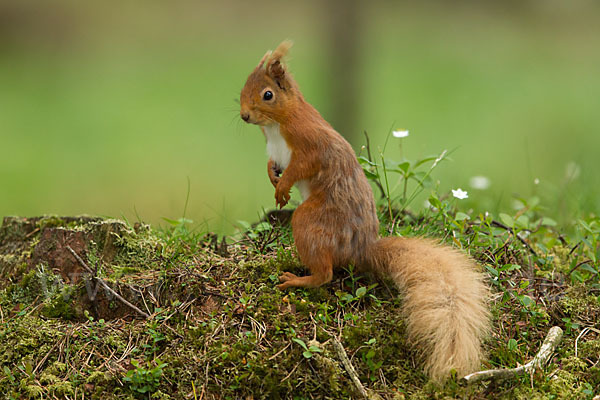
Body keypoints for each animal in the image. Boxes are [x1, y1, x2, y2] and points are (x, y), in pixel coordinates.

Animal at [239, 40, 488, 382]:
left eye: (267, 94)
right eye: (243, 87)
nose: (244, 115)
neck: (277, 125)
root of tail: (360, 249)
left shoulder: (310, 143)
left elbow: (301, 167)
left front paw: (283, 186)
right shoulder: (276, 152)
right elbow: (271, 164)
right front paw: (272, 178)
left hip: (312, 221)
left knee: (326, 274)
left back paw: (297, 280)